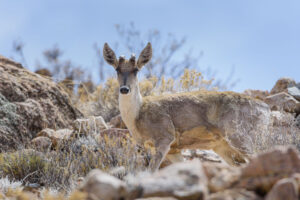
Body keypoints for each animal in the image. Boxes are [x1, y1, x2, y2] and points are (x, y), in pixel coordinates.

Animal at [103, 42, 270, 170]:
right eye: (117, 69)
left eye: (136, 69)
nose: (124, 89)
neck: (138, 114)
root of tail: (265, 110)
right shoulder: (174, 150)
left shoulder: (165, 138)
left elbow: (151, 170)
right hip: (222, 147)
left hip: (239, 135)